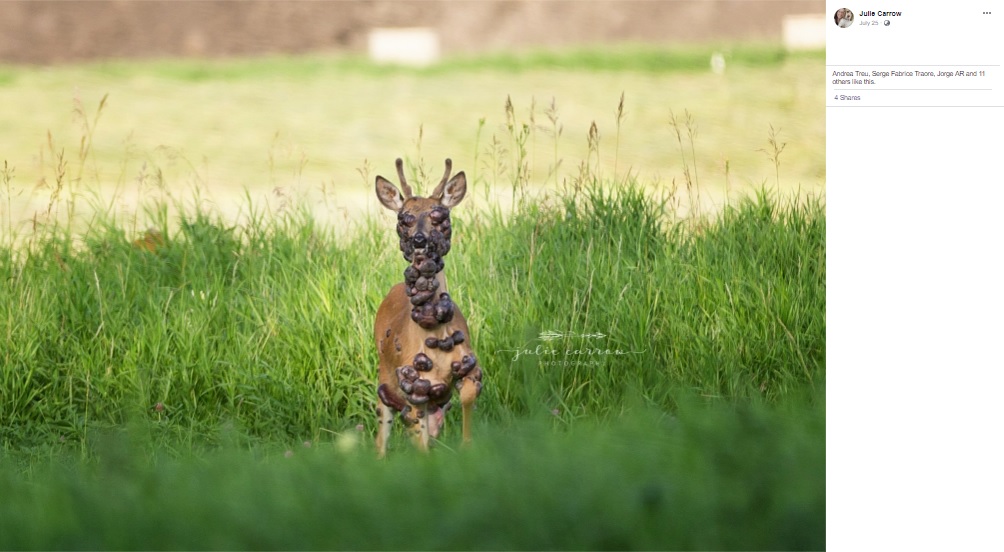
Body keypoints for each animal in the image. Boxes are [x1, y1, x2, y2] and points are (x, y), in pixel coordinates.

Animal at [375, 156, 483, 459]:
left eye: (441, 216)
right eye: (403, 218)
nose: (419, 240)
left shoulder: (469, 366)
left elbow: (467, 398)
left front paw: (468, 447)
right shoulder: (412, 386)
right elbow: (420, 444)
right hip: (384, 376)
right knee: (382, 435)